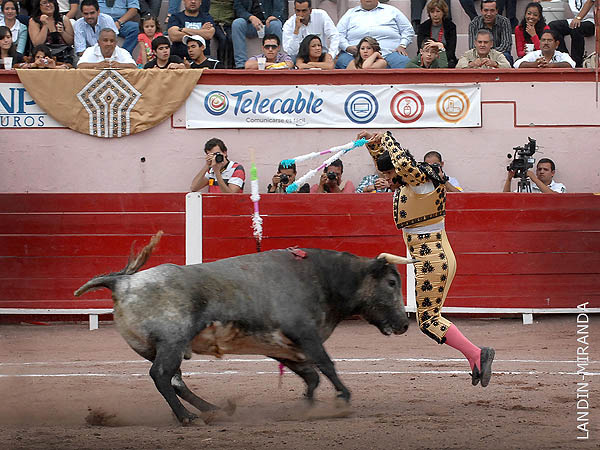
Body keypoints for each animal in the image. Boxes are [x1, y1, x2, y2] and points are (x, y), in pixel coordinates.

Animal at [74, 234, 412, 424]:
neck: (324, 277)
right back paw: (188, 417)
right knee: (161, 376)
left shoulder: (285, 348)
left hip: (155, 347)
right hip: (172, 340)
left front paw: (306, 406)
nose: (404, 323)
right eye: (391, 283)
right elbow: (327, 366)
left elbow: (312, 376)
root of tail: (123, 282)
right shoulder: (306, 335)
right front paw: (342, 397)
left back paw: (213, 410)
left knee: (174, 380)